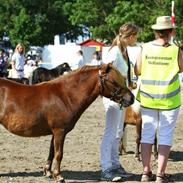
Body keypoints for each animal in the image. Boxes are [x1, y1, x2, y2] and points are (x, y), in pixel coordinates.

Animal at [0, 63, 134, 183]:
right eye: (114, 81)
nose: (131, 98)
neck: (64, 96)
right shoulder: (60, 130)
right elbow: (59, 154)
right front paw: (59, 176)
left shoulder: (55, 132)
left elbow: (52, 152)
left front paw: (48, 172)